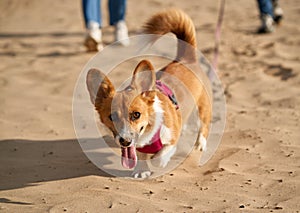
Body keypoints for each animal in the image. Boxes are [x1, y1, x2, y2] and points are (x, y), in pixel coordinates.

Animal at [86, 8, 212, 178]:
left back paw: (200, 143)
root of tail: (185, 59)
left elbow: (162, 154)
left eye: (136, 115)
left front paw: (159, 160)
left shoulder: (171, 138)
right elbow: (140, 156)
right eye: (112, 117)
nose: (125, 141)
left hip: (204, 107)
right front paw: (141, 170)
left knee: (204, 125)